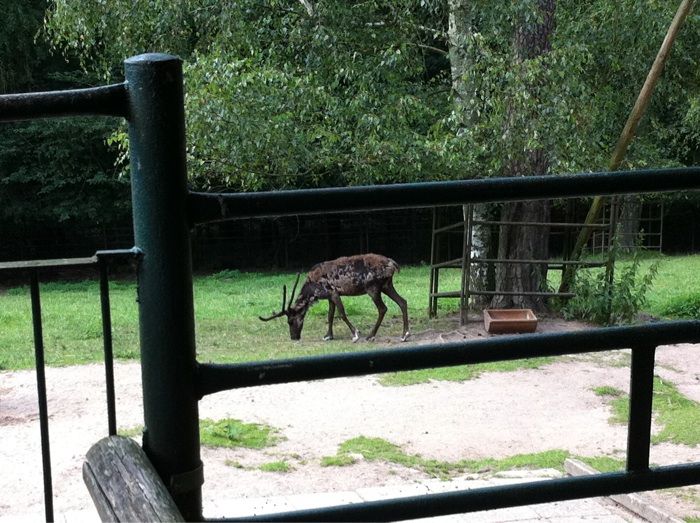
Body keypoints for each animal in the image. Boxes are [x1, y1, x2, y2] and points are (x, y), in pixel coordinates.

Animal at [258, 255, 410, 344]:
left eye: (290, 321)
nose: (294, 337)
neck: (312, 290)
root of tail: (393, 264)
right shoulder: (329, 297)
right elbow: (330, 316)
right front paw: (328, 336)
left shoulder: (334, 292)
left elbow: (341, 314)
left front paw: (355, 334)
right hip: (386, 285)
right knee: (403, 302)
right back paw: (404, 335)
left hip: (372, 288)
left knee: (383, 308)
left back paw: (371, 336)